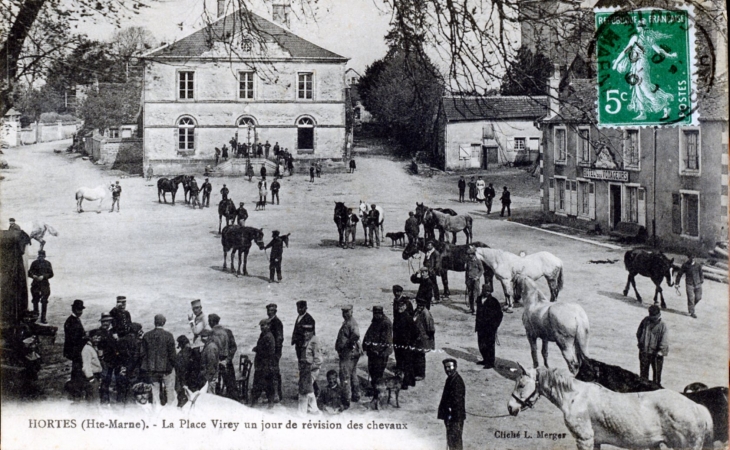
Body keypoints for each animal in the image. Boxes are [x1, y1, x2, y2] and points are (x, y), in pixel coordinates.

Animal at [506, 366, 712, 450]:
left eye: (521, 385)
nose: (510, 407)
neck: (576, 397)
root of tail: (697, 408)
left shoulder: (584, 440)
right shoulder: (596, 441)